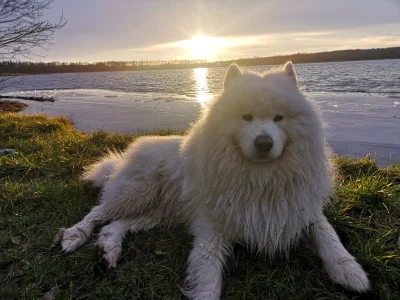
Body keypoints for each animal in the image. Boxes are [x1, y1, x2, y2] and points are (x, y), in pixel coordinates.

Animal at [54, 62, 370, 298]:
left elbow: (329, 237)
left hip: (159, 212)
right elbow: (207, 279)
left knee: (116, 224)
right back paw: (74, 236)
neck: (260, 179)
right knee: (97, 214)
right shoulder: (212, 227)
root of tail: (126, 156)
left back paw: (108, 250)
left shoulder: (300, 209)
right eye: (246, 117)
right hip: (137, 192)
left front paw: (350, 272)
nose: (264, 142)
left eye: (279, 118)